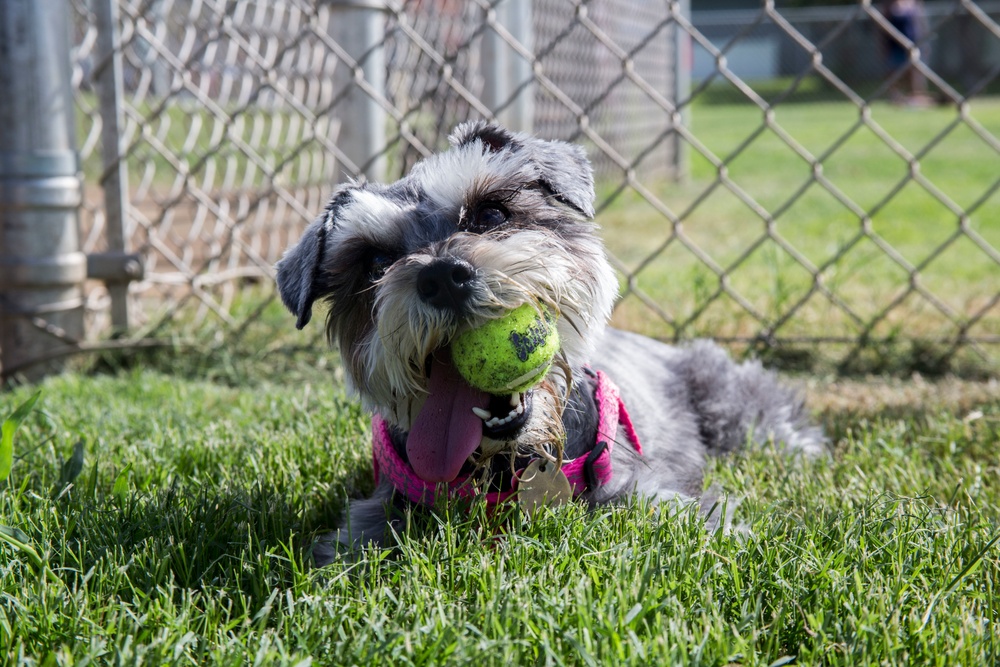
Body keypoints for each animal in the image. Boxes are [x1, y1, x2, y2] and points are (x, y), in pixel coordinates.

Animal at [278, 120, 824, 564]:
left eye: (491, 215)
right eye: (373, 263)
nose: (442, 277)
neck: (505, 467)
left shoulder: (642, 487)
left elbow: (669, 515)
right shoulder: (383, 503)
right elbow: (358, 540)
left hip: (734, 405)